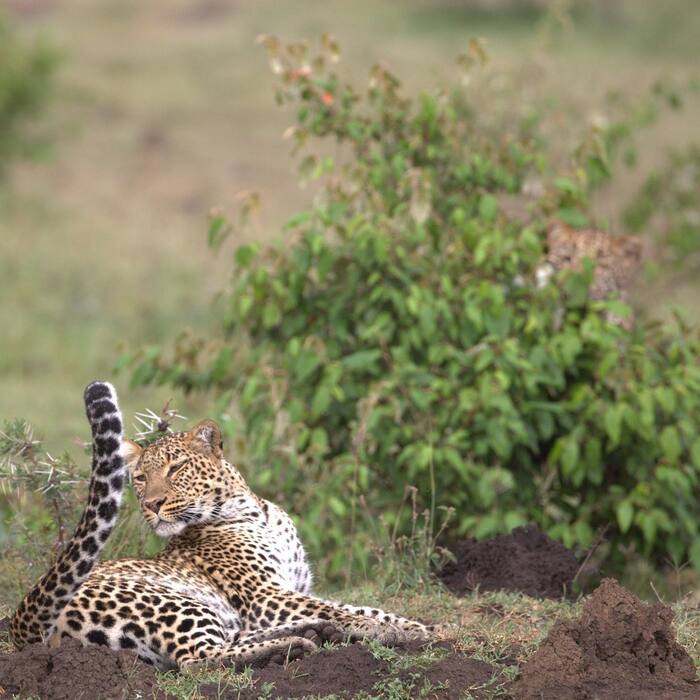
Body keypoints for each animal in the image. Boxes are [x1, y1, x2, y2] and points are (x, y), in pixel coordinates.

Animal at [10, 382, 442, 672]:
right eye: (140, 478)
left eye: (176, 469)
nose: (151, 504)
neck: (254, 511)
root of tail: (19, 622)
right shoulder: (265, 596)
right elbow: (351, 610)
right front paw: (404, 632)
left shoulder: (291, 590)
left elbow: (357, 606)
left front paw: (417, 627)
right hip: (172, 602)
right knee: (197, 659)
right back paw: (294, 646)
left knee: (235, 637)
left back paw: (314, 632)